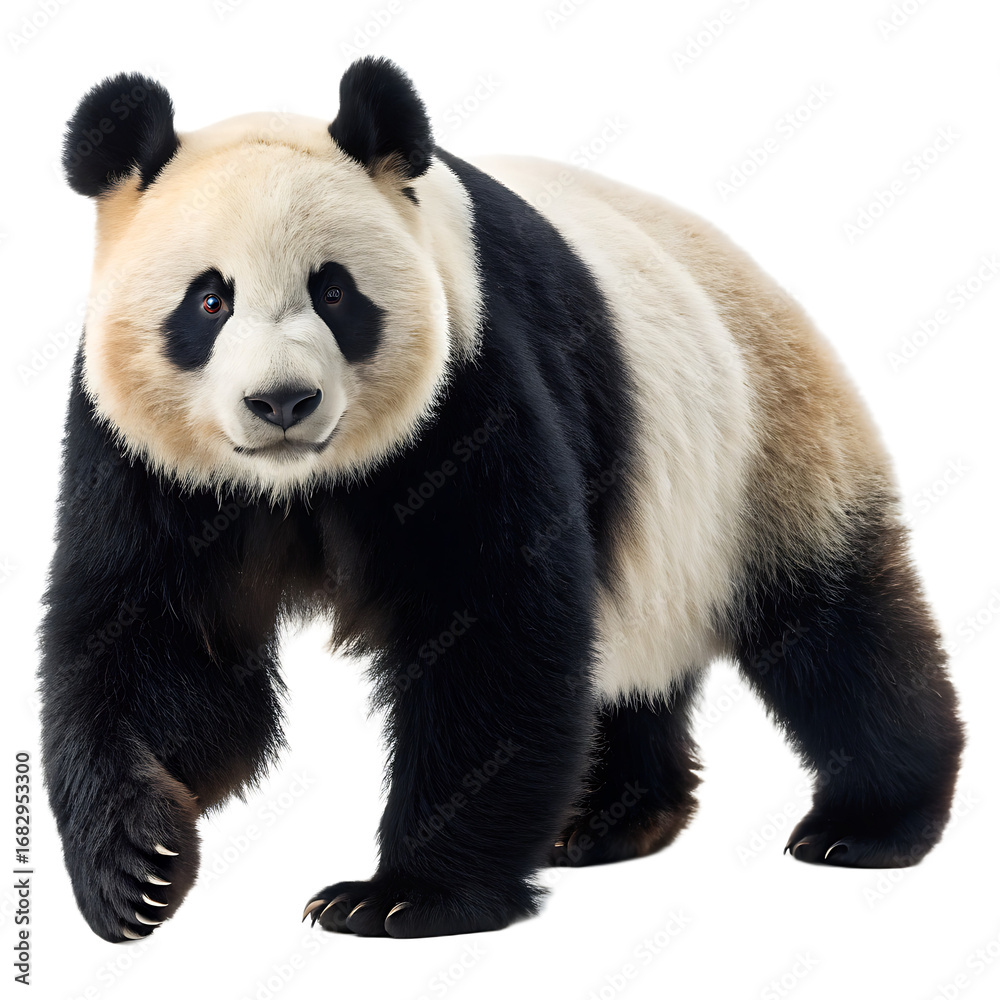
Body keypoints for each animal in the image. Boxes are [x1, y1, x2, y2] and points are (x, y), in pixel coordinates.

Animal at [41, 56, 964, 942]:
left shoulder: (470, 387)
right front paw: (134, 869)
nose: (282, 403)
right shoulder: (146, 462)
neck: (296, 483)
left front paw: (403, 898)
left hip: (768, 449)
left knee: (836, 633)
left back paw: (870, 823)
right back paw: (611, 818)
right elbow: (158, 642)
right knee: (631, 665)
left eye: (334, 292)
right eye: (210, 300)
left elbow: (493, 628)